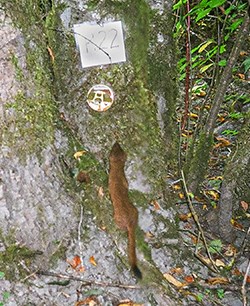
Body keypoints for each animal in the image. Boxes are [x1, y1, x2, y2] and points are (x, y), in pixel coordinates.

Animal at [108, 142, 142, 278]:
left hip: (117, 217)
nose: (116, 141)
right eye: (117, 146)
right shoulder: (125, 181)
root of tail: (131, 223)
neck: (118, 172)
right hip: (135, 211)